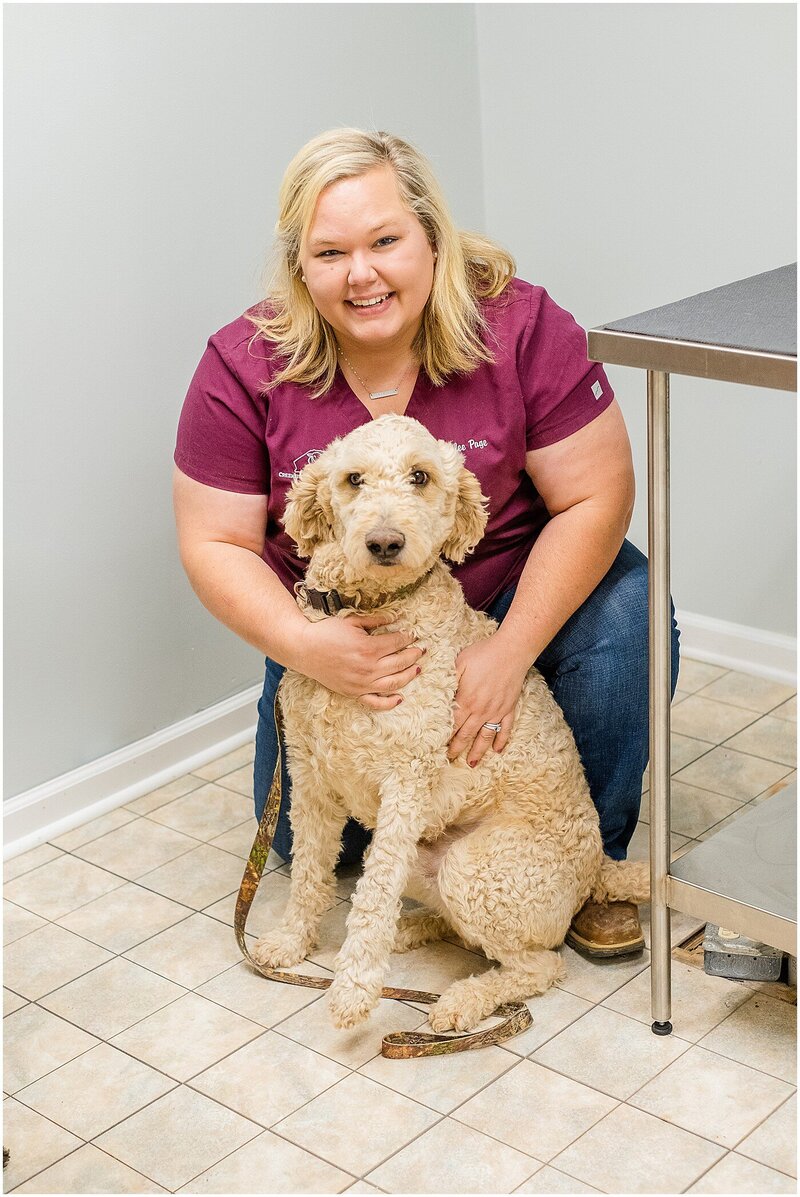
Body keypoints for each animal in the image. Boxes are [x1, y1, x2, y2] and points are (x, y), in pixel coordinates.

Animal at [256, 414, 651, 1029]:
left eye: (420, 476)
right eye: (353, 479)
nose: (385, 542)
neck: (372, 608)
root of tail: (597, 870)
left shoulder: (405, 783)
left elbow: (372, 898)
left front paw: (353, 988)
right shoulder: (309, 777)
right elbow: (308, 873)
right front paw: (293, 941)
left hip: (476, 869)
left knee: (539, 965)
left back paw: (463, 999)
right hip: (430, 858)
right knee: (461, 931)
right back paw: (412, 930)